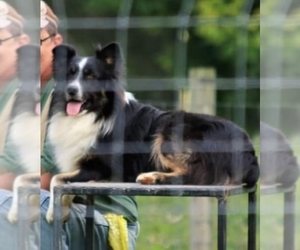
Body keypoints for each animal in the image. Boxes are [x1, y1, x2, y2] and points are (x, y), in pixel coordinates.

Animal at [45, 42, 258, 222]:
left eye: (90, 76)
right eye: (70, 74)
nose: (71, 90)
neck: (96, 114)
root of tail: (249, 150)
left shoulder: (101, 168)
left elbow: (58, 179)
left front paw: (53, 213)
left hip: (171, 132)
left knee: (191, 176)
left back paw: (152, 177)